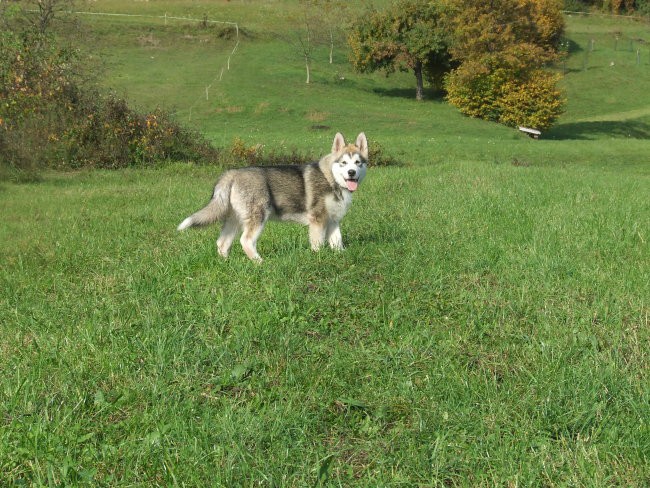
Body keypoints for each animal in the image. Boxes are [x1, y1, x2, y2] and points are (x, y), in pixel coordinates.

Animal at [177, 132, 368, 262]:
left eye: (358, 163)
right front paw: (318, 258)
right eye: (343, 163)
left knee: (222, 242)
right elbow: (318, 243)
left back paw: (227, 263)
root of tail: (232, 173)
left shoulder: (333, 220)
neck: (331, 179)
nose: (351, 173)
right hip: (258, 217)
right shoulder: (318, 219)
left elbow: (337, 241)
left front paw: (341, 255)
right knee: (246, 241)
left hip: (235, 219)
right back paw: (260, 262)